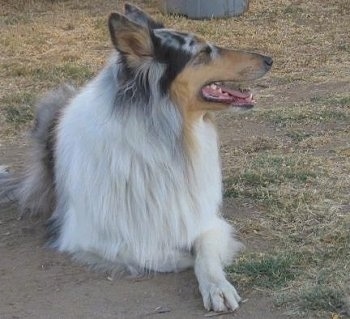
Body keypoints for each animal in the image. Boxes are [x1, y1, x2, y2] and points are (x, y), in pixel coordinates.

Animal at [0, 2, 272, 312]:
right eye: (203, 52)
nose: (269, 59)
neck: (167, 137)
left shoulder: (205, 221)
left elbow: (205, 255)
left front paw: (218, 287)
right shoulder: (88, 235)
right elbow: (150, 252)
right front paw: (181, 256)